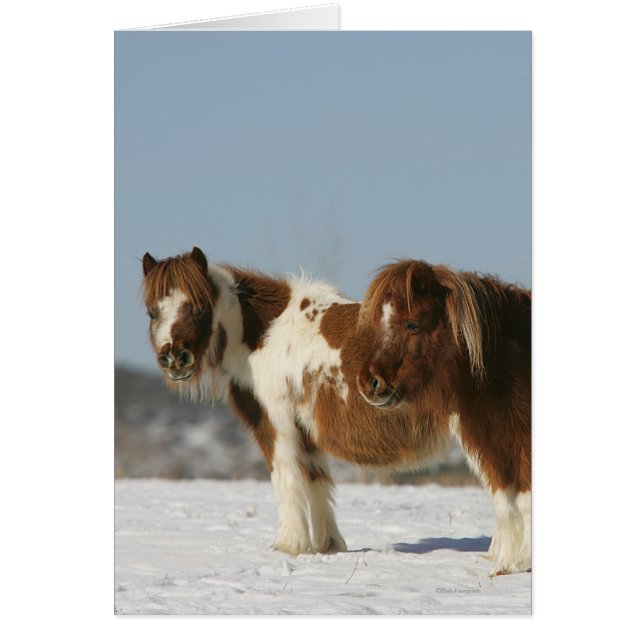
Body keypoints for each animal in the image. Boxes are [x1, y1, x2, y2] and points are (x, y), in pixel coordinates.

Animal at [141, 247, 452, 556]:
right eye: (152, 312)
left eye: (198, 307)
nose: (174, 358)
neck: (266, 335)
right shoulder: (305, 432)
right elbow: (315, 480)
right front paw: (327, 545)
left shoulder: (277, 425)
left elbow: (287, 477)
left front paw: (289, 544)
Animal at [356, 260, 531, 576]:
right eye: (380, 324)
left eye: (412, 324)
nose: (368, 382)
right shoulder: (495, 445)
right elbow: (506, 499)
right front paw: (508, 562)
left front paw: (518, 562)